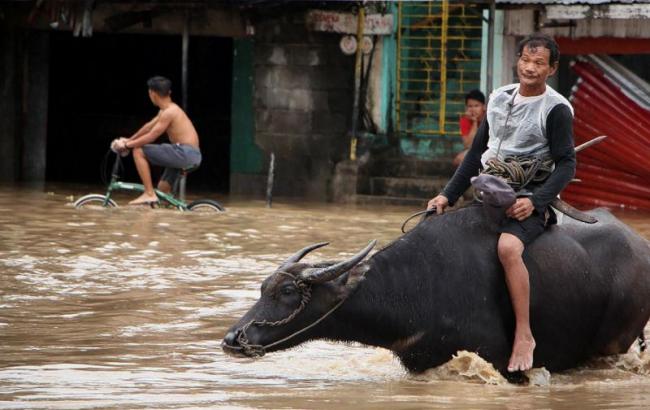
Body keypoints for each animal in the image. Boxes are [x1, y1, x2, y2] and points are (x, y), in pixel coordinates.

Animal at [221, 205, 648, 374]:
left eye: (288, 293)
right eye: (263, 288)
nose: (232, 339)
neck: (417, 285)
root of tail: (639, 245)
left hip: (613, 343)